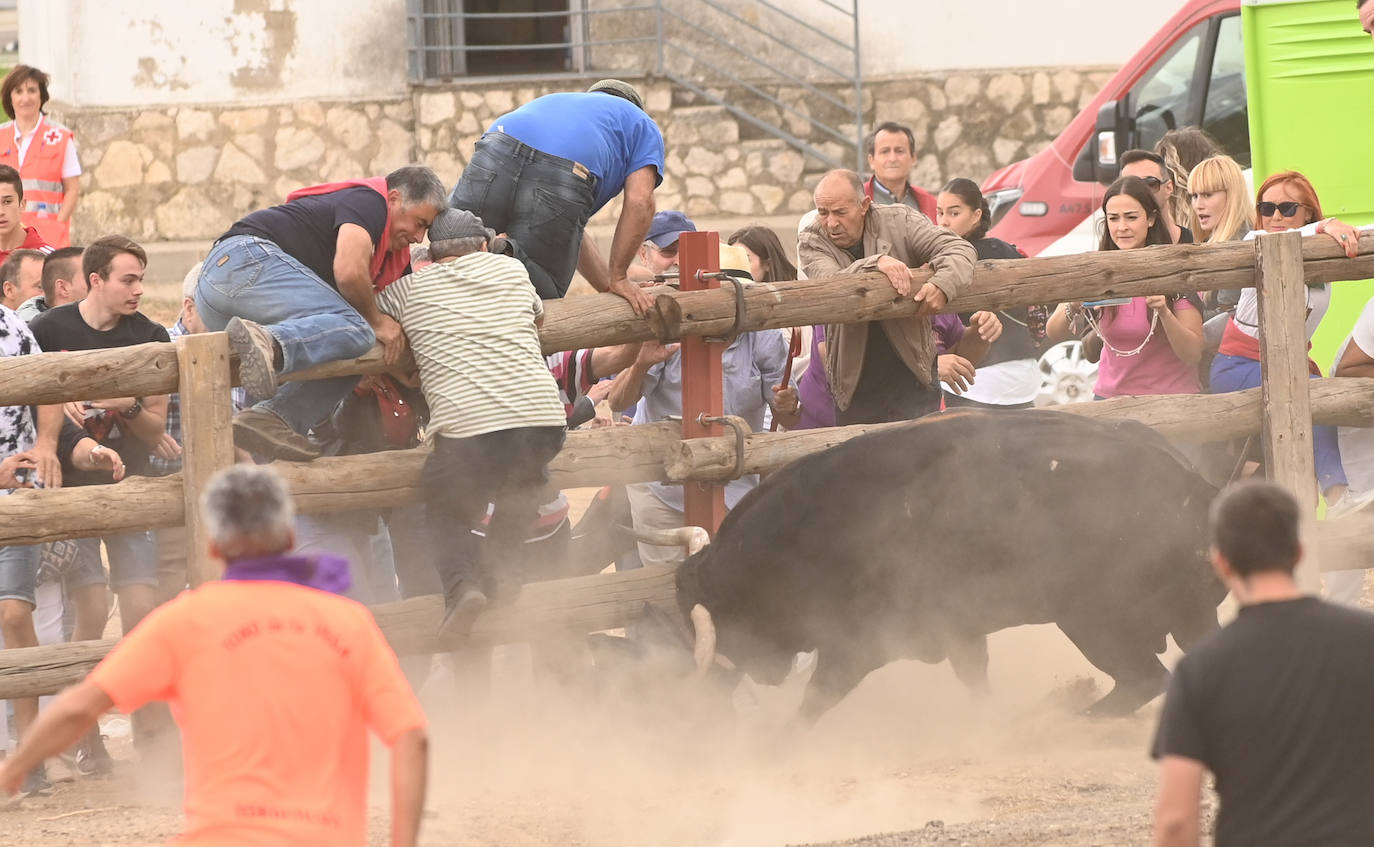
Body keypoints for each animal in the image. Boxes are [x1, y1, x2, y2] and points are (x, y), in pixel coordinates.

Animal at [673, 409, 1225, 720]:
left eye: (720, 622)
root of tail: (1195, 487)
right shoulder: (959, 631)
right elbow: (974, 679)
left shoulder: (856, 645)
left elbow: (814, 702)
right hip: (1174, 618)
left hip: (1095, 620)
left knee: (1144, 679)